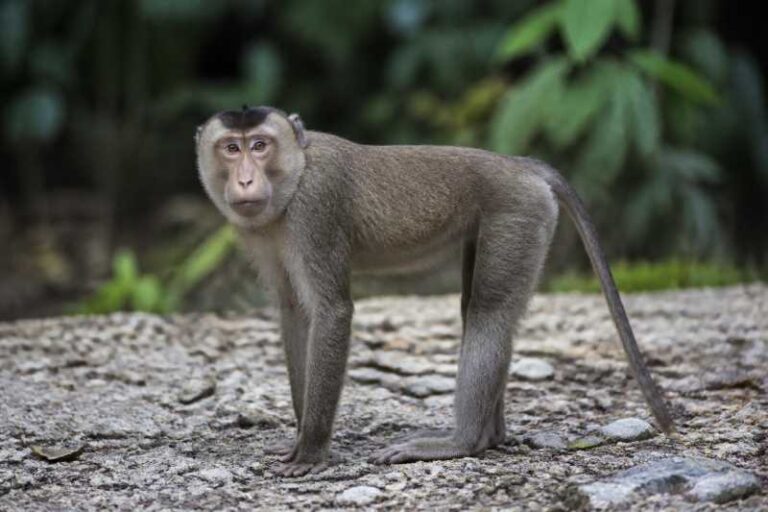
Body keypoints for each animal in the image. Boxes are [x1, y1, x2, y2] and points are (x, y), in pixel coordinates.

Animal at [195, 106, 674, 477]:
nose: (244, 181)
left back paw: (463, 442)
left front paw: (311, 451)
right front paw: (297, 438)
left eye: (260, 145)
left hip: (518, 211)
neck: (294, 175)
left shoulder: (316, 209)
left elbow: (331, 312)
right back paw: (492, 436)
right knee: (475, 308)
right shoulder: (258, 233)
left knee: (487, 313)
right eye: (232, 148)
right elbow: (294, 311)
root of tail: (519, 165)